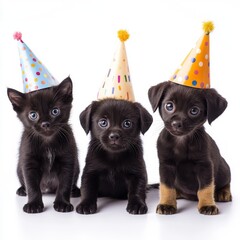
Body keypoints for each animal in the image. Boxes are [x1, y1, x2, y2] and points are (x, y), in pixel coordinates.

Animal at [7, 77, 79, 214]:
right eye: (33, 115)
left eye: (55, 111)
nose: (45, 124)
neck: (47, 143)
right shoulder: (28, 162)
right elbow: (32, 186)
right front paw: (33, 204)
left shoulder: (68, 160)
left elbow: (65, 184)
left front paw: (63, 203)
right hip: (19, 169)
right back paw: (22, 190)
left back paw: (76, 191)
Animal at [147, 82, 232, 216]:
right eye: (169, 106)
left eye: (194, 111)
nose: (177, 123)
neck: (181, 142)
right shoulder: (166, 166)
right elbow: (166, 187)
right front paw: (167, 204)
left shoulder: (205, 166)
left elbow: (206, 188)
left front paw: (207, 204)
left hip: (224, 169)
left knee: (226, 182)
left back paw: (223, 192)